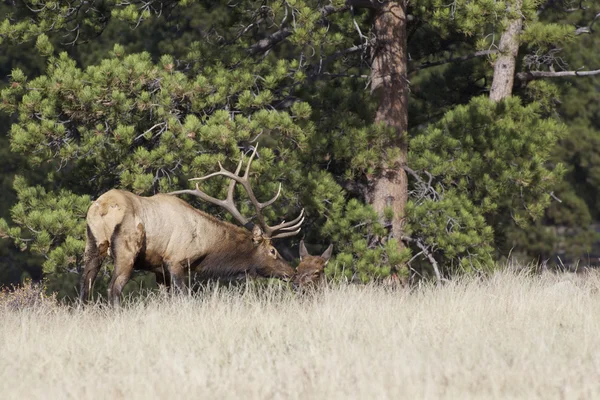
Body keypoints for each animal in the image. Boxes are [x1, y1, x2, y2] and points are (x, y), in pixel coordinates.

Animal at [79, 147, 304, 306]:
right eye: (273, 250)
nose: (291, 273)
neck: (205, 245)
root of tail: (101, 208)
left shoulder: (159, 269)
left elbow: (166, 299)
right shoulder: (175, 260)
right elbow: (184, 297)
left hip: (92, 245)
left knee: (85, 288)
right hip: (127, 250)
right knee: (113, 289)